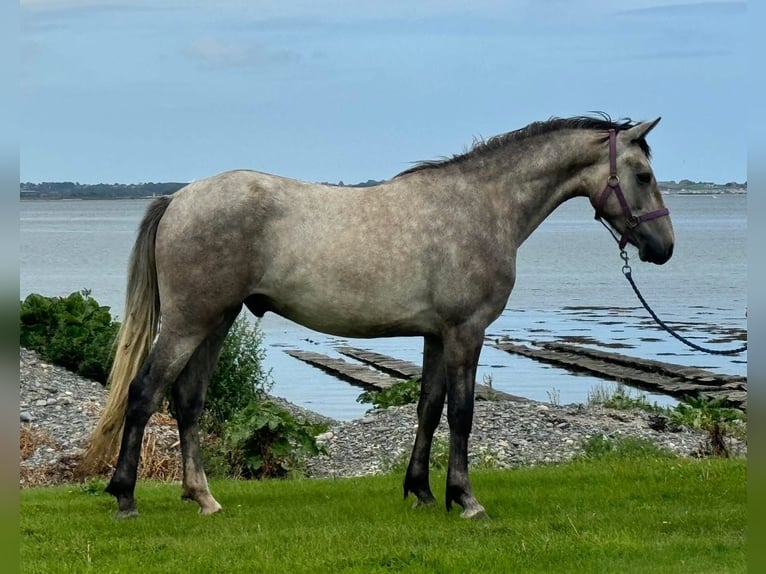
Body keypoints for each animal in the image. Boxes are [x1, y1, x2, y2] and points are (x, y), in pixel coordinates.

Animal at [79, 114, 674, 519]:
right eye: (644, 174)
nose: (664, 248)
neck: (481, 206)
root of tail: (179, 198)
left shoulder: (437, 335)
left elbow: (429, 408)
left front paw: (422, 491)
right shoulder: (467, 332)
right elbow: (462, 414)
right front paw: (466, 499)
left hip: (215, 321)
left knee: (188, 400)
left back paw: (202, 497)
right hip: (190, 321)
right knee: (144, 393)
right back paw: (126, 497)